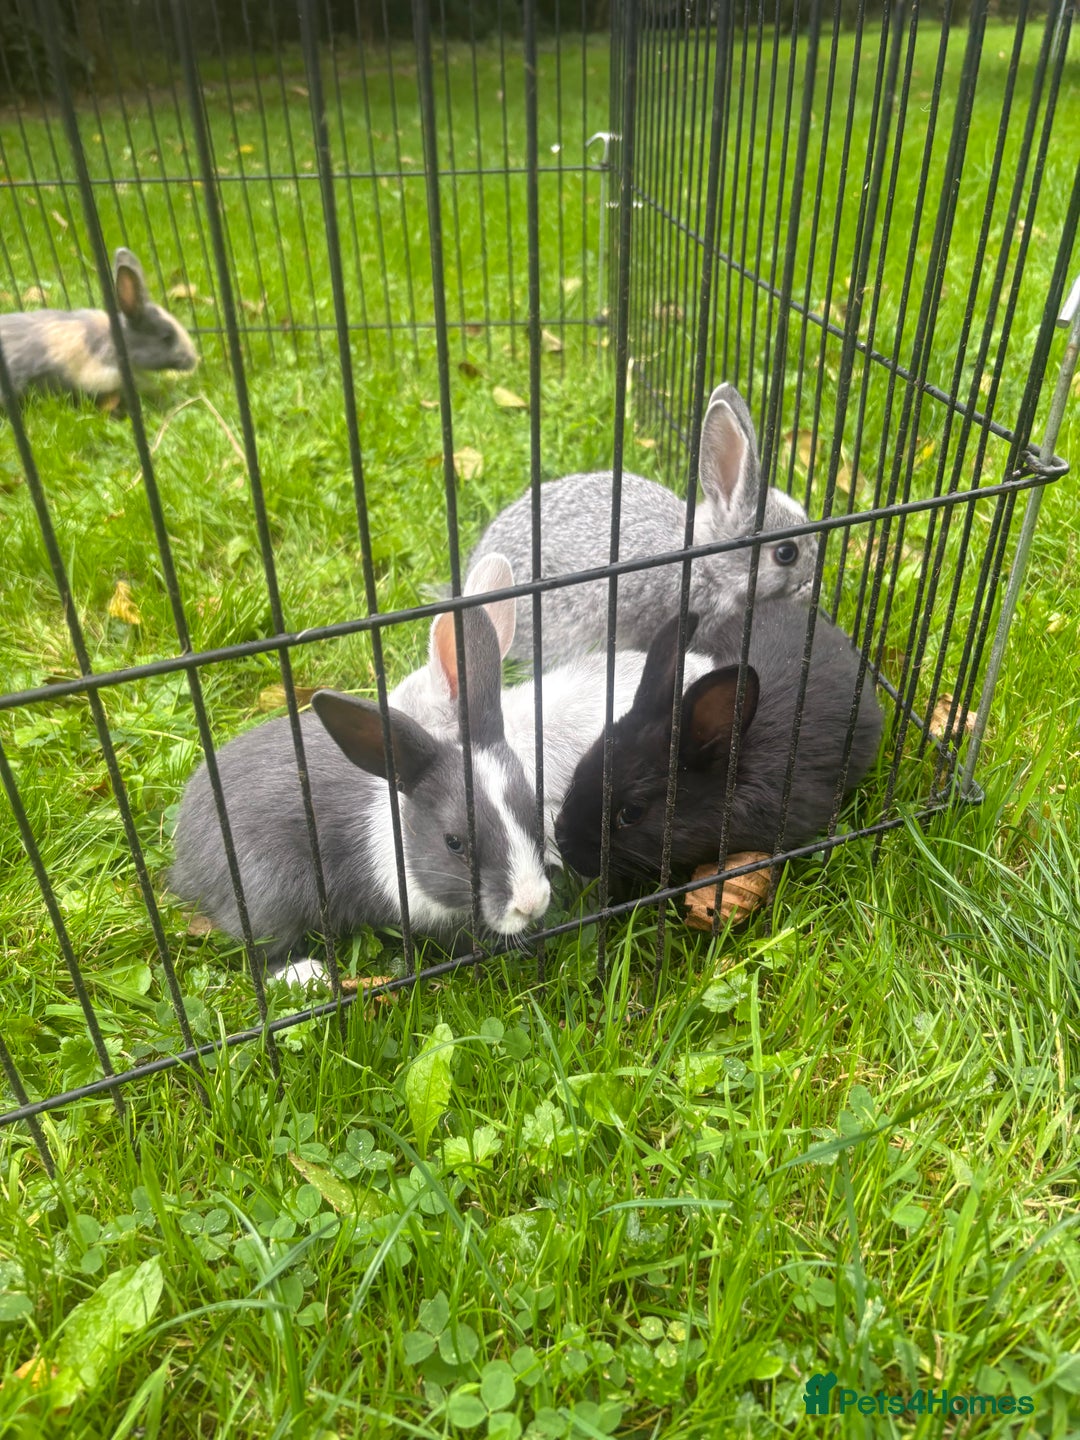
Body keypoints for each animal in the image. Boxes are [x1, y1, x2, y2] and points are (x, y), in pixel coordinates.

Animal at [168, 604, 551, 982]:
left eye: (535, 811)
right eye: (454, 842)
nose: (531, 904)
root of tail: (185, 853)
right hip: (269, 892)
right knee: (259, 952)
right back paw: (306, 974)